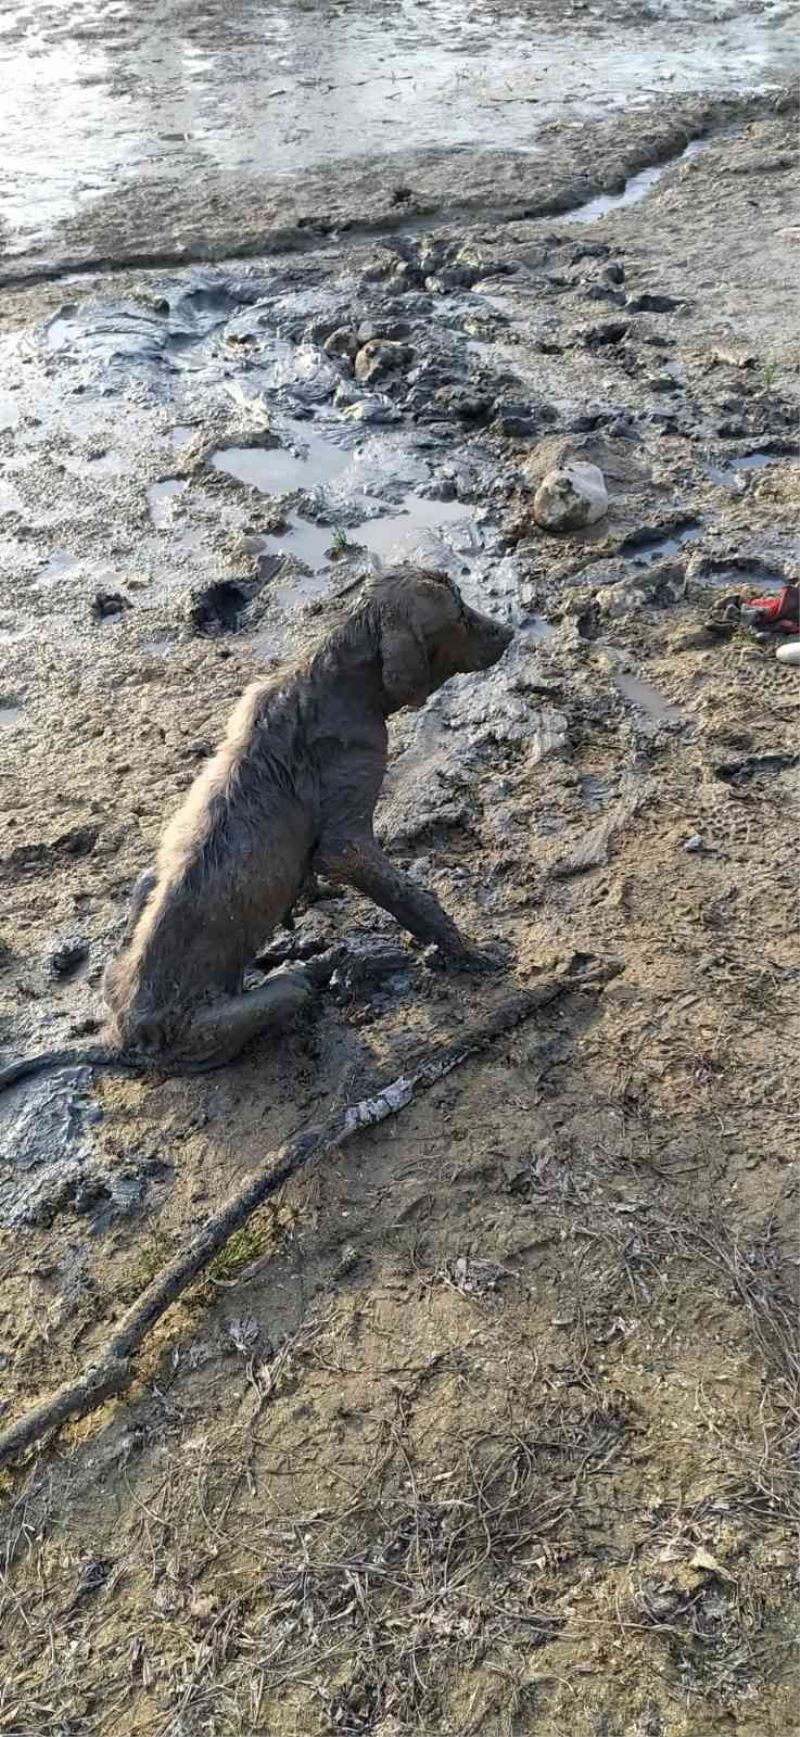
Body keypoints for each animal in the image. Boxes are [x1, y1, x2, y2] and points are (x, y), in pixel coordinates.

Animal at [0, 562, 510, 1090]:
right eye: (459, 616)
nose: (508, 632)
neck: (339, 676)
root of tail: (122, 1038)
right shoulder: (347, 843)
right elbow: (412, 896)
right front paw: (470, 952)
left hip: (139, 903)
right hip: (219, 1022)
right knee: (282, 996)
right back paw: (318, 971)